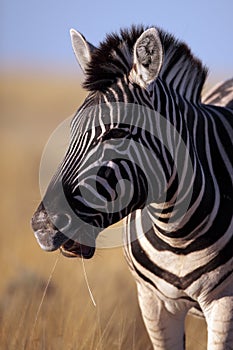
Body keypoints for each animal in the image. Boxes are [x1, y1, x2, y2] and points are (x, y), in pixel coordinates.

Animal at [31, 26, 233, 348]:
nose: (41, 227)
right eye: (72, 131)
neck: (177, 233)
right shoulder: (152, 302)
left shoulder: (225, 303)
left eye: (116, 133)